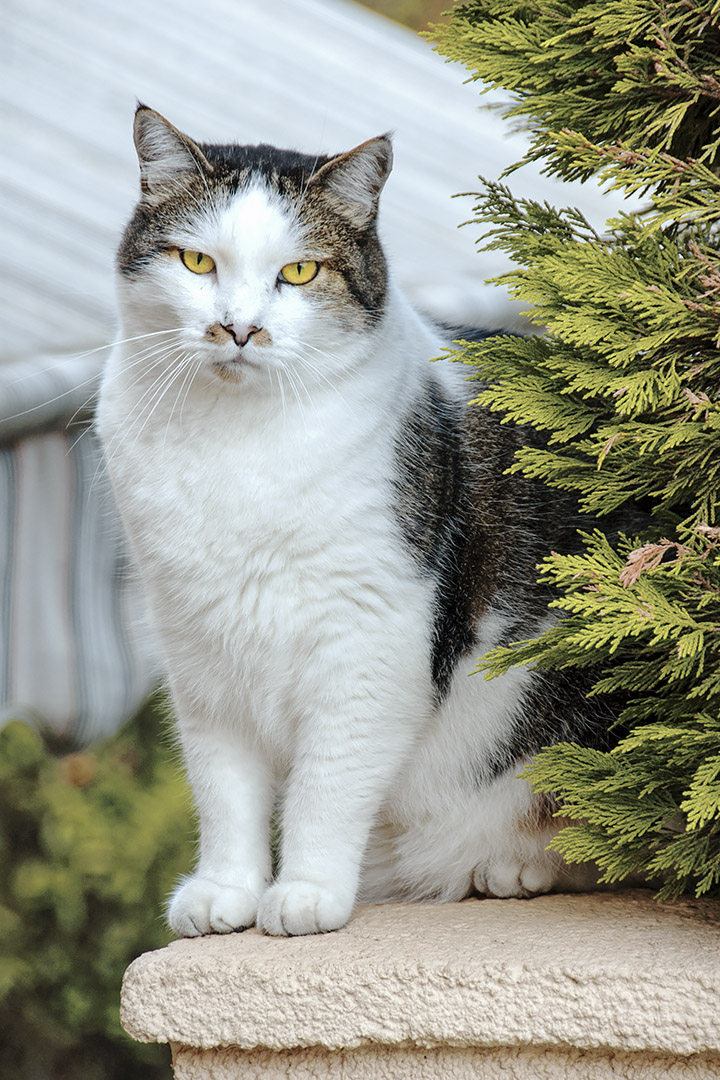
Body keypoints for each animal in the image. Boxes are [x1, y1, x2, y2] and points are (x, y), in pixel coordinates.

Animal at [95, 105, 613, 941]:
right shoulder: (199, 650)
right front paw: (226, 889)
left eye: (301, 272)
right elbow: (222, 782)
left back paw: (514, 865)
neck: (237, 446)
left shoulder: (371, 641)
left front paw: (305, 892)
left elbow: (328, 781)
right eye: (197, 261)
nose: (238, 329)